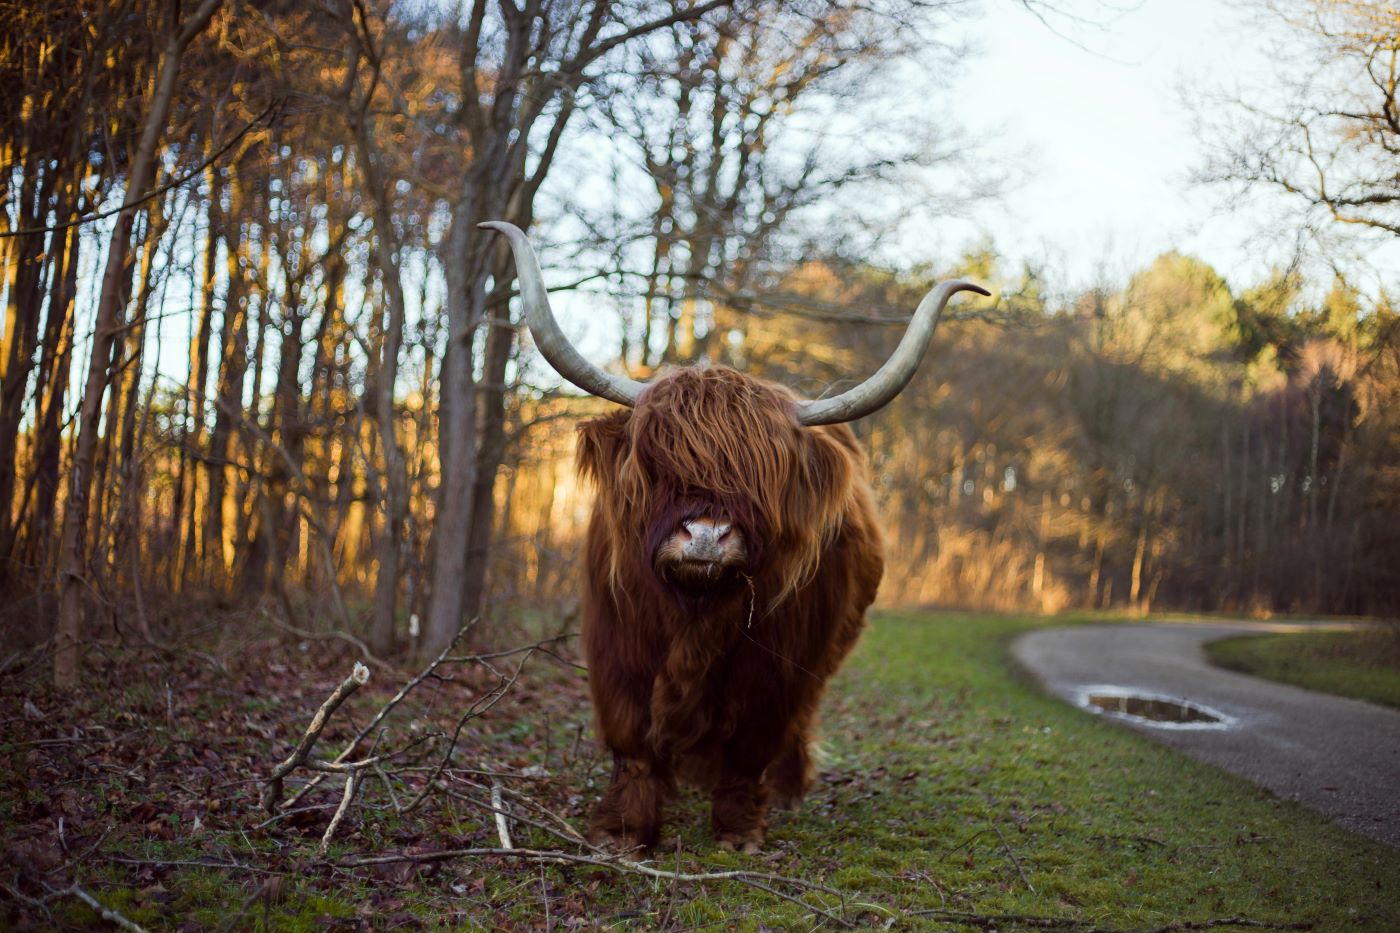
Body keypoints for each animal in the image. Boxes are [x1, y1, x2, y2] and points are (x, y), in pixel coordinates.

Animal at [487, 218, 991, 851]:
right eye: (657, 463)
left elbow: (752, 744)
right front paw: (623, 831)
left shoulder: (778, 668)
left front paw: (737, 830)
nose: (706, 535)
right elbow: (632, 742)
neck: (694, 614)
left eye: (764, 479)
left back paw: (789, 789)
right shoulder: (616, 649)